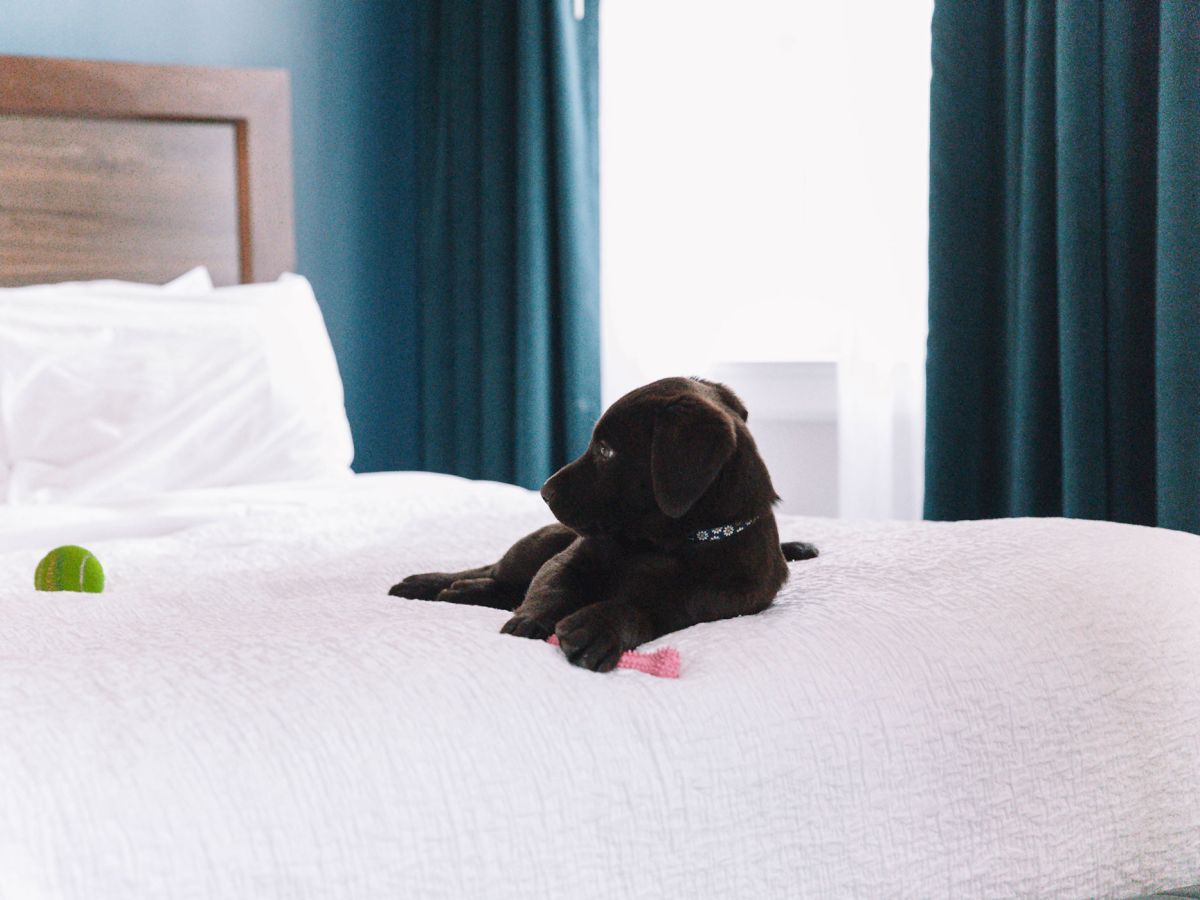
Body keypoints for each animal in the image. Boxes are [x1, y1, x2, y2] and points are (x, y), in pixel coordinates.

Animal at [391, 376, 816, 672]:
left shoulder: (722, 598)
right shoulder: (570, 559)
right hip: (535, 546)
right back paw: (434, 584)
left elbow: (653, 605)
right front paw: (530, 620)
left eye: (606, 450)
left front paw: (599, 627)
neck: (663, 544)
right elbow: (553, 586)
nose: (544, 492)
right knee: (495, 572)